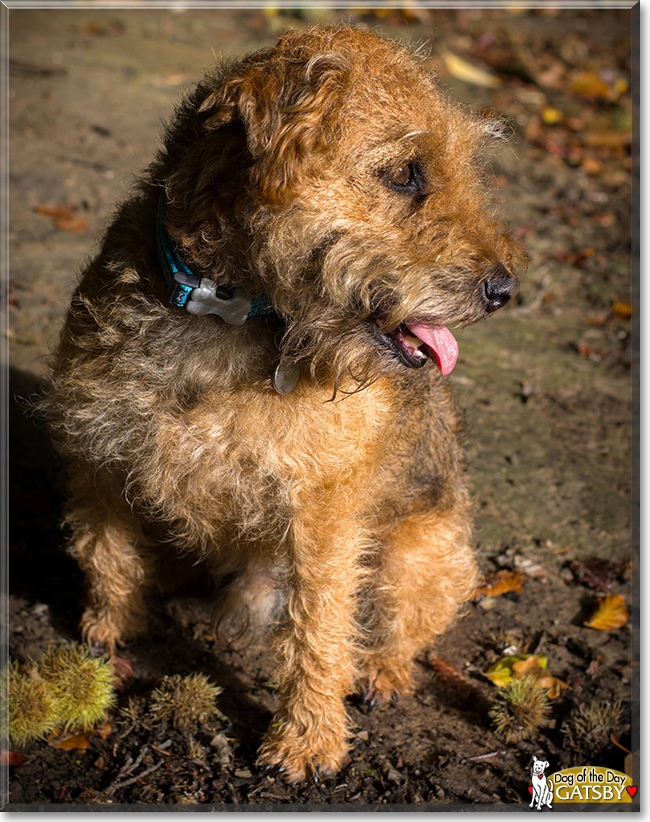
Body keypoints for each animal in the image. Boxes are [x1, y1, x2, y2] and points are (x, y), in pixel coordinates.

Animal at [43, 27, 520, 784]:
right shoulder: (100, 454)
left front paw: (306, 742)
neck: (225, 312)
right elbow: (105, 554)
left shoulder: (322, 514)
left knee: (399, 629)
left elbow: (321, 628)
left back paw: (381, 674)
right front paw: (108, 634)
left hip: (419, 554)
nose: (504, 290)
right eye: (405, 173)